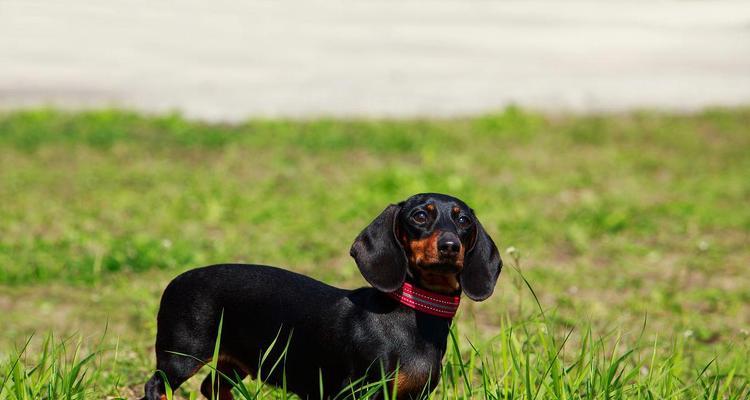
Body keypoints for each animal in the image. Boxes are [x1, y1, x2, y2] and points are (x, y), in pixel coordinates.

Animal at [143, 192, 502, 398]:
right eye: (420, 216)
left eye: (463, 220)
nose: (450, 246)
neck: (411, 314)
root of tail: (175, 281)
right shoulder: (356, 392)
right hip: (181, 357)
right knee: (157, 386)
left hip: (235, 361)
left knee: (212, 388)